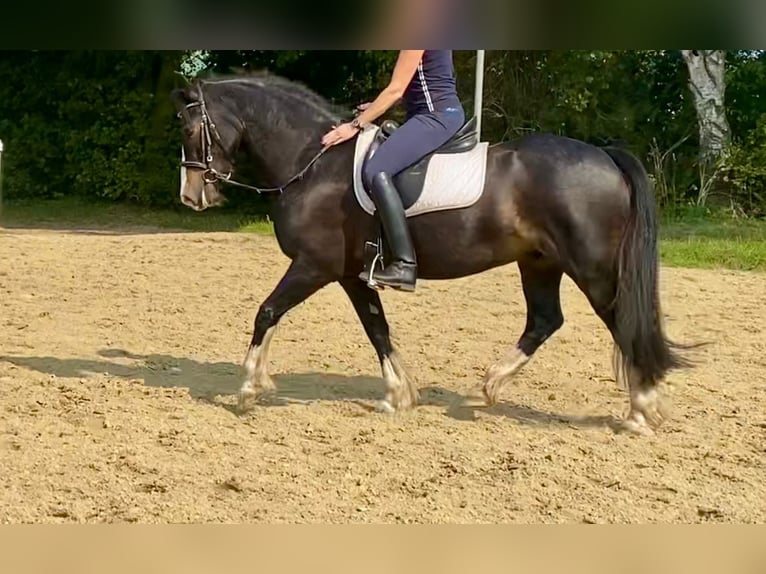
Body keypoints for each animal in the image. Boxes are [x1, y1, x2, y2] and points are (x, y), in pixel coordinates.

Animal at [172, 72, 696, 436]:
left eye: (191, 128)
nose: (191, 196)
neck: (313, 163)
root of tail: (605, 155)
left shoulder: (313, 266)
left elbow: (266, 311)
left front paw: (248, 388)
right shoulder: (351, 274)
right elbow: (377, 328)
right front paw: (398, 395)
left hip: (592, 268)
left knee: (622, 321)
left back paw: (641, 411)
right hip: (539, 262)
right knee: (545, 320)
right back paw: (491, 385)